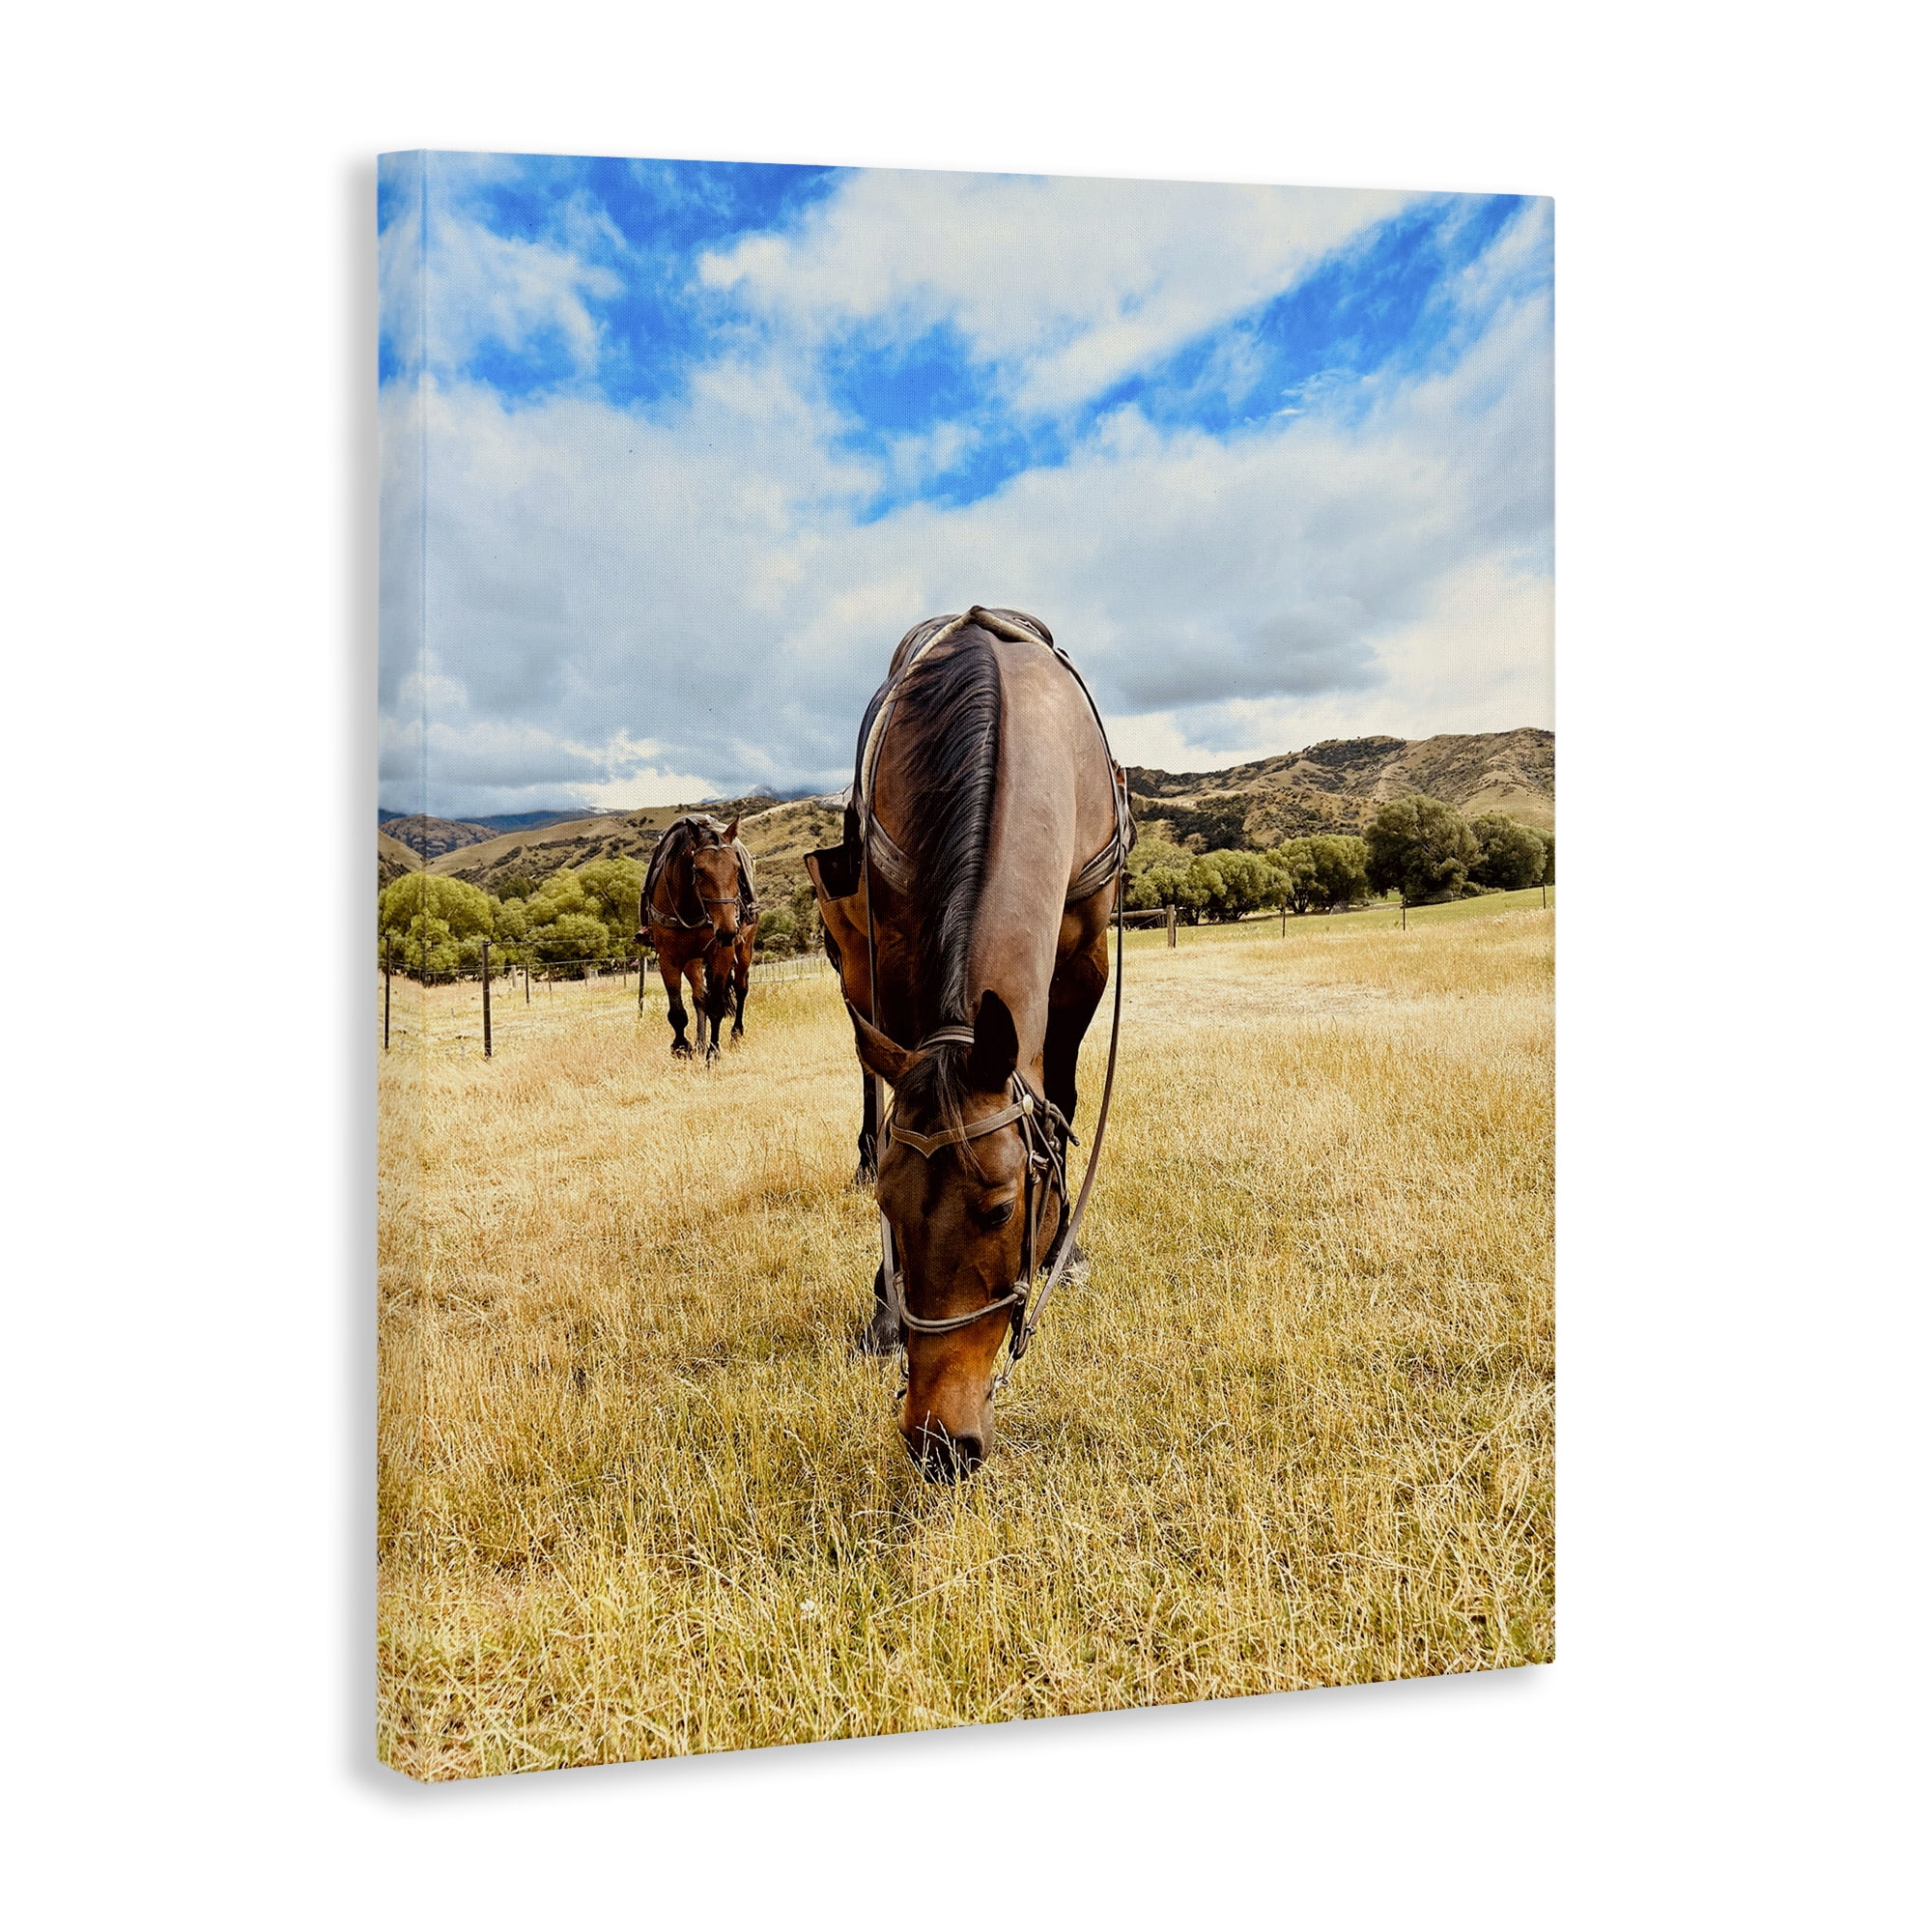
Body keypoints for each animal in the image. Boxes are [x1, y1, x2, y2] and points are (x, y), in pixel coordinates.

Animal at [637, 814, 758, 1059]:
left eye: (737, 869)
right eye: (699, 870)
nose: (727, 930)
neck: (692, 906)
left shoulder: (722, 953)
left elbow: (716, 1006)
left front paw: (713, 1053)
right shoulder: (670, 959)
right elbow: (678, 1011)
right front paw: (682, 1047)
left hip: (744, 949)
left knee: (741, 988)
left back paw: (735, 1034)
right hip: (692, 959)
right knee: (699, 996)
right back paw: (700, 1042)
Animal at [806, 607, 1132, 1479]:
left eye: (1001, 1209)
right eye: (889, 1203)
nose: (937, 1443)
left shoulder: (1086, 955)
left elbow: (1062, 1094)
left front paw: (1067, 1252)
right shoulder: (894, 948)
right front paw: (885, 1313)